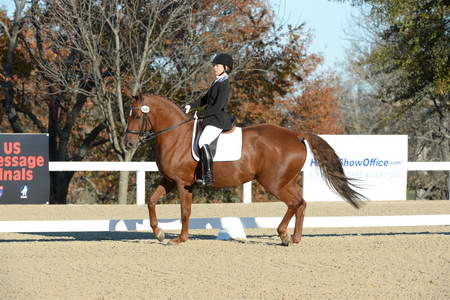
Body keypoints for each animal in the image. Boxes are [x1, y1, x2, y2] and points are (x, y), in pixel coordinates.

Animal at [124, 94, 366, 246]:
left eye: (137, 116)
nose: (129, 143)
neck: (176, 136)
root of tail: (296, 135)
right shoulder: (169, 180)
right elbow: (151, 201)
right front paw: (159, 233)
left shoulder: (183, 183)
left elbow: (185, 211)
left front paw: (180, 239)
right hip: (284, 181)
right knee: (301, 203)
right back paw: (295, 238)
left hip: (273, 182)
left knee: (293, 203)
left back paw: (284, 235)